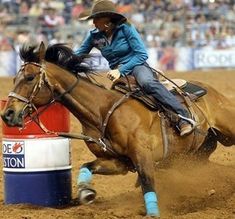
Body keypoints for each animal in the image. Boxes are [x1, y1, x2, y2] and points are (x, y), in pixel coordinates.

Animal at [1, 41, 235, 217]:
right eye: (14, 79)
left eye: (30, 77)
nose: (8, 114)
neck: (103, 111)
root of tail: (211, 91)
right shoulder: (118, 162)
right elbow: (87, 166)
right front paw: (85, 192)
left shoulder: (142, 156)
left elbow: (147, 183)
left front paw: (152, 213)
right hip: (195, 154)